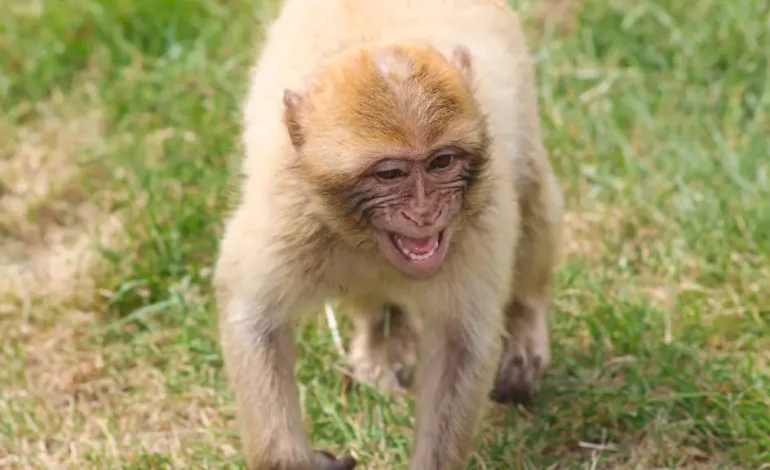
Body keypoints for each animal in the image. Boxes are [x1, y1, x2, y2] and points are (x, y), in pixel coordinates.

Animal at [213, 0, 563, 468]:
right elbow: (252, 318)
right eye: (390, 174)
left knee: (531, 189)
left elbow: (460, 344)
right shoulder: (284, 216)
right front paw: (291, 461)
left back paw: (525, 320)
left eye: (441, 162)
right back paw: (383, 333)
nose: (425, 211)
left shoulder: (481, 222)